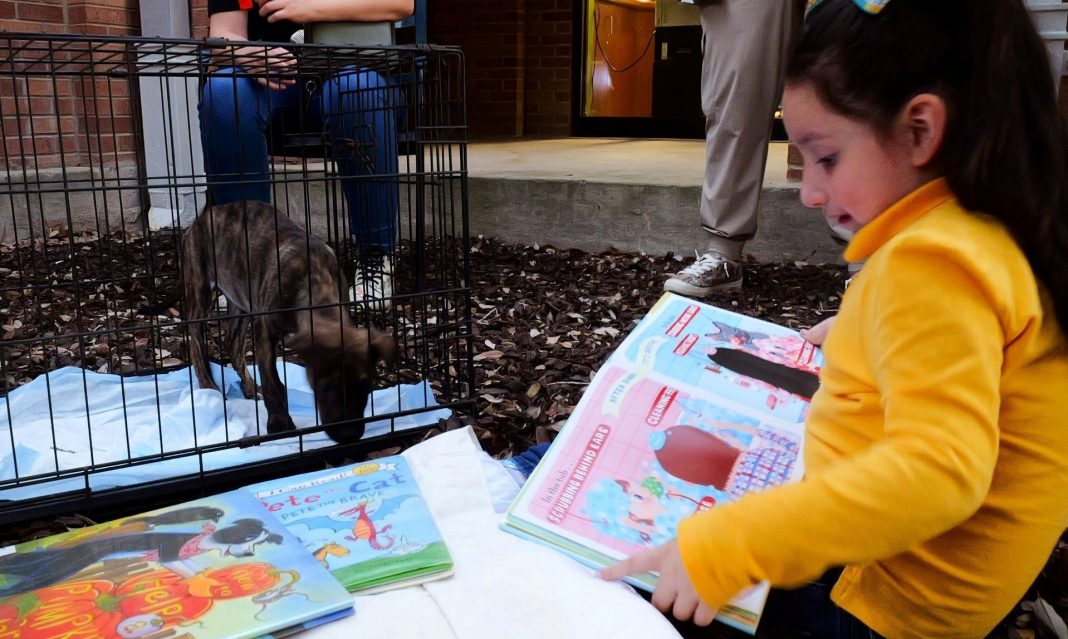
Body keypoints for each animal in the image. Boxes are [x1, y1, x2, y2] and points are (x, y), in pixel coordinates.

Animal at [176, 200, 397, 443]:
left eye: (366, 385)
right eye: (324, 387)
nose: (349, 435)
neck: (315, 283)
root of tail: (202, 217)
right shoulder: (264, 333)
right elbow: (273, 383)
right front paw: (280, 425)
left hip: (240, 301)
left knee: (232, 345)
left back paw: (250, 387)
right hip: (199, 288)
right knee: (196, 342)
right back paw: (209, 386)